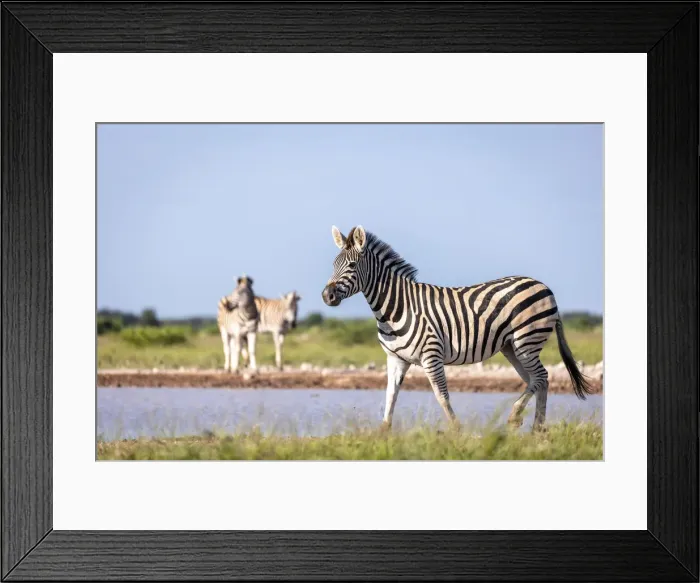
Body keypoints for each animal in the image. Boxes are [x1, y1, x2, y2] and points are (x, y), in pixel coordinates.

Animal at [321, 225, 593, 431]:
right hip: (512, 348)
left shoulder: (431, 355)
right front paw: (383, 432)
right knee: (537, 380)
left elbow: (442, 396)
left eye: (352, 266)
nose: (327, 296)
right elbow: (390, 395)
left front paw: (456, 430)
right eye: (333, 265)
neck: (396, 308)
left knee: (542, 376)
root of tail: (544, 286)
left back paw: (519, 418)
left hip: (526, 340)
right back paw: (537, 428)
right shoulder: (395, 359)